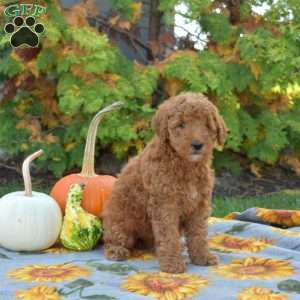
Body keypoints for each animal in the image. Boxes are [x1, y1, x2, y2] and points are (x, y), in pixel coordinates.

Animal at [103, 92, 227, 274]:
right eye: (181, 125)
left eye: (206, 125)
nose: (197, 145)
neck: (186, 165)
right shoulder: (165, 204)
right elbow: (169, 236)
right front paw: (173, 264)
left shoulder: (199, 205)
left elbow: (198, 234)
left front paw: (202, 257)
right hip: (120, 221)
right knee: (113, 238)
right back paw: (117, 251)